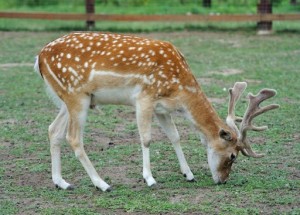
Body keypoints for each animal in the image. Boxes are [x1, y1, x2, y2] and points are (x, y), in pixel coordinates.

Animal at [34, 32, 278, 191]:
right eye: (233, 156)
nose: (222, 180)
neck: (179, 90)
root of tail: (39, 58)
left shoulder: (162, 108)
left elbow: (175, 136)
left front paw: (188, 174)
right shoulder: (144, 98)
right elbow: (146, 138)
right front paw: (150, 179)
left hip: (68, 99)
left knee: (53, 130)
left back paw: (62, 182)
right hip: (76, 95)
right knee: (73, 138)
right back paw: (102, 184)